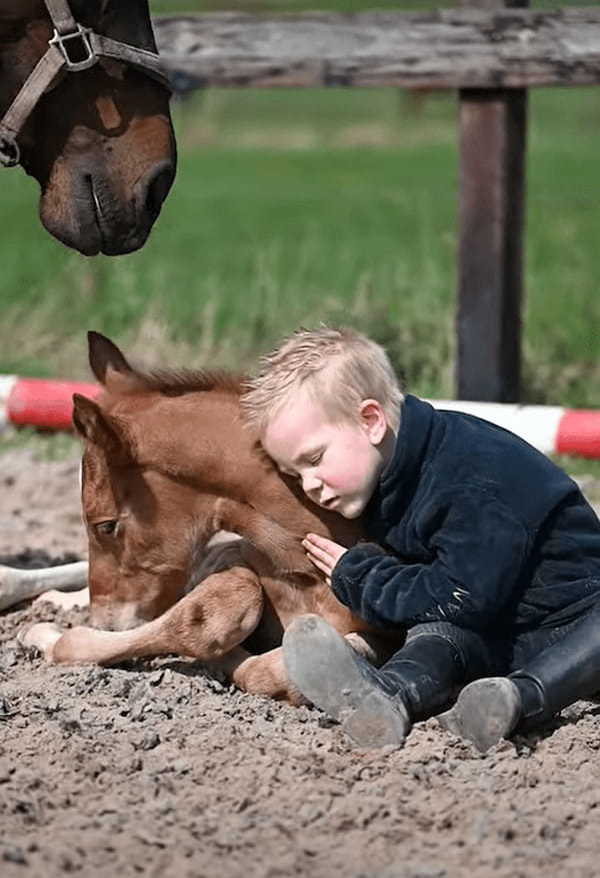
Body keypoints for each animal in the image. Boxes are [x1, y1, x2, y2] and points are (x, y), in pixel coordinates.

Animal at [23, 334, 398, 704]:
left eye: (106, 525)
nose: (106, 622)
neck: (305, 572)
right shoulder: (226, 559)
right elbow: (214, 612)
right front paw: (45, 631)